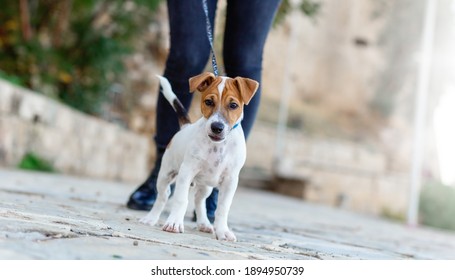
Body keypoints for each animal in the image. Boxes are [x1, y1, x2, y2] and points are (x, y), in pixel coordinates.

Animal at [139, 71, 260, 241]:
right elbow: (181, 199)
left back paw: (204, 223)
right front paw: (174, 223)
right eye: (208, 102)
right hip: (165, 175)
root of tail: (185, 127)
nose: (217, 127)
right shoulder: (187, 171)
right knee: (163, 196)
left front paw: (222, 231)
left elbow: (223, 208)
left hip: (206, 185)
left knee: (199, 199)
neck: (218, 146)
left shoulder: (230, 180)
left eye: (233, 105)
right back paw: (151, 218)